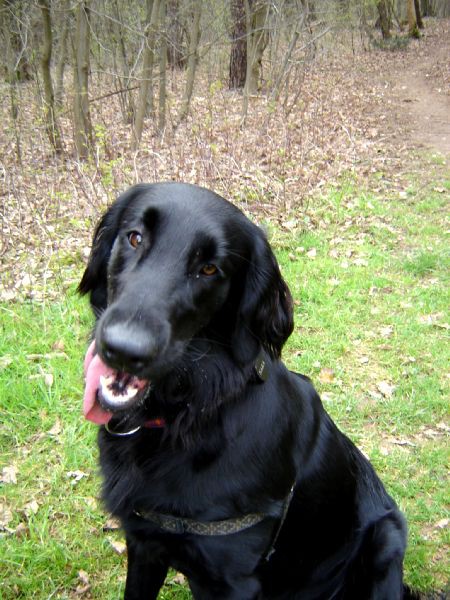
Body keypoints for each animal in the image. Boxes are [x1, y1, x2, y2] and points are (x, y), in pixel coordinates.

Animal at [78, 184, 414, 600]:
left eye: (210, 269)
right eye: (134, 237)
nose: (124, 349)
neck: (194, 409)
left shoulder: (234, 579)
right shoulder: (144, 543)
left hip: (386, 539)